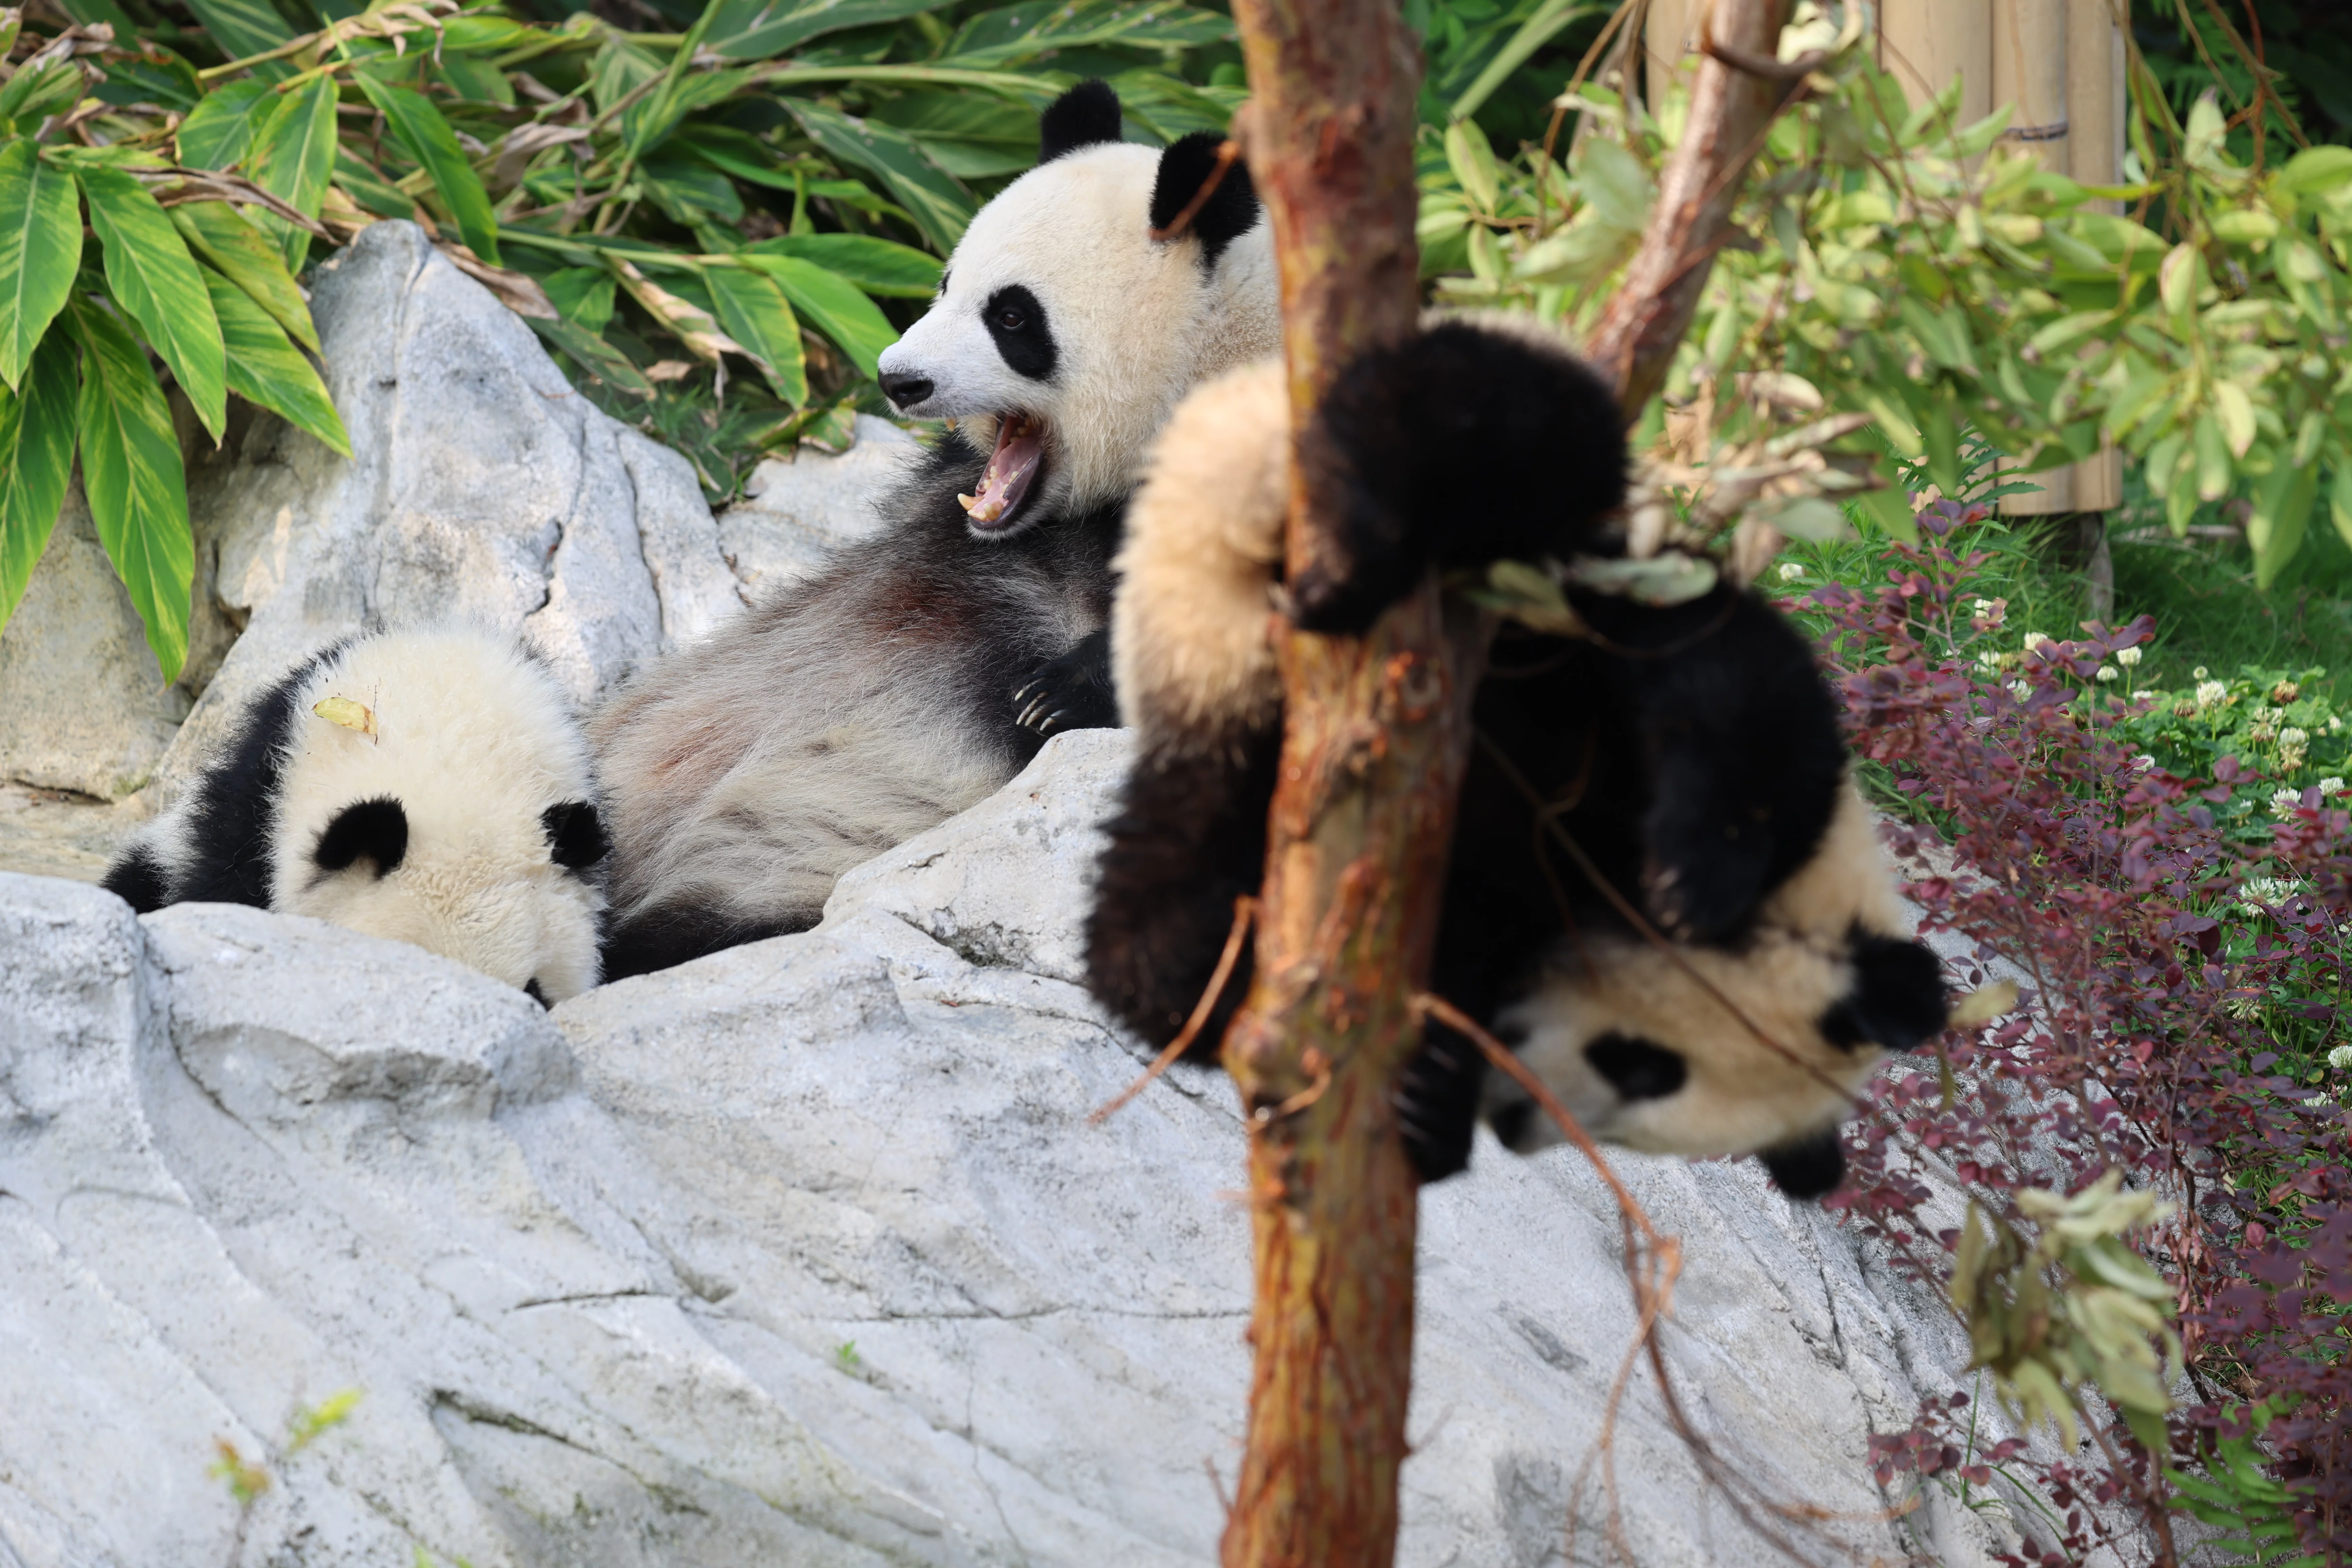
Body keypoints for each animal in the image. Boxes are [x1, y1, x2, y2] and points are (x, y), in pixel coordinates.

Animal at [1084, 321, 1950, 1198]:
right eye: (1643, 1065)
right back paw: (1359, 557)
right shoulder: (1624, 642)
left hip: (1218, 758)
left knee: (1158, 921)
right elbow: (1723, 686)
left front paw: (1435, 1106)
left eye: (1637, 1129)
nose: (1516, 1121)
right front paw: (1697, 878)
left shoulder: (1494, 912)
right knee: (1500, 423)